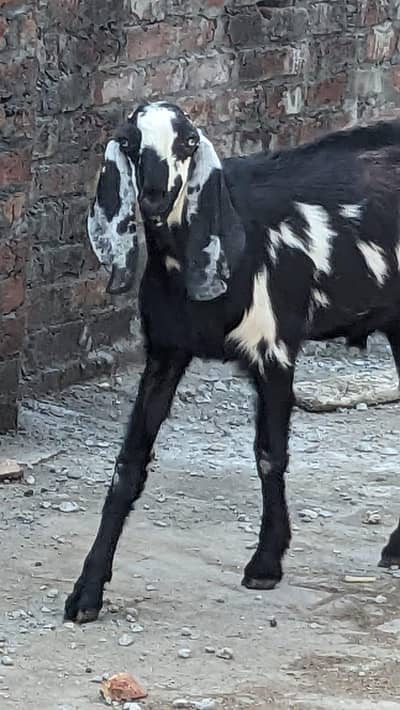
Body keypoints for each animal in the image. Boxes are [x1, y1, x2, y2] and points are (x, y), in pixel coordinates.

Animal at [65, 101, 400, 623]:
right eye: (132, 143)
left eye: (188, 142)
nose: (157, 195)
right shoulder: (165, 353)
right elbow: (128, 466)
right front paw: (87, 591)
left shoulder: (274, 351)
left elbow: (269, 455)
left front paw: (266, 562)